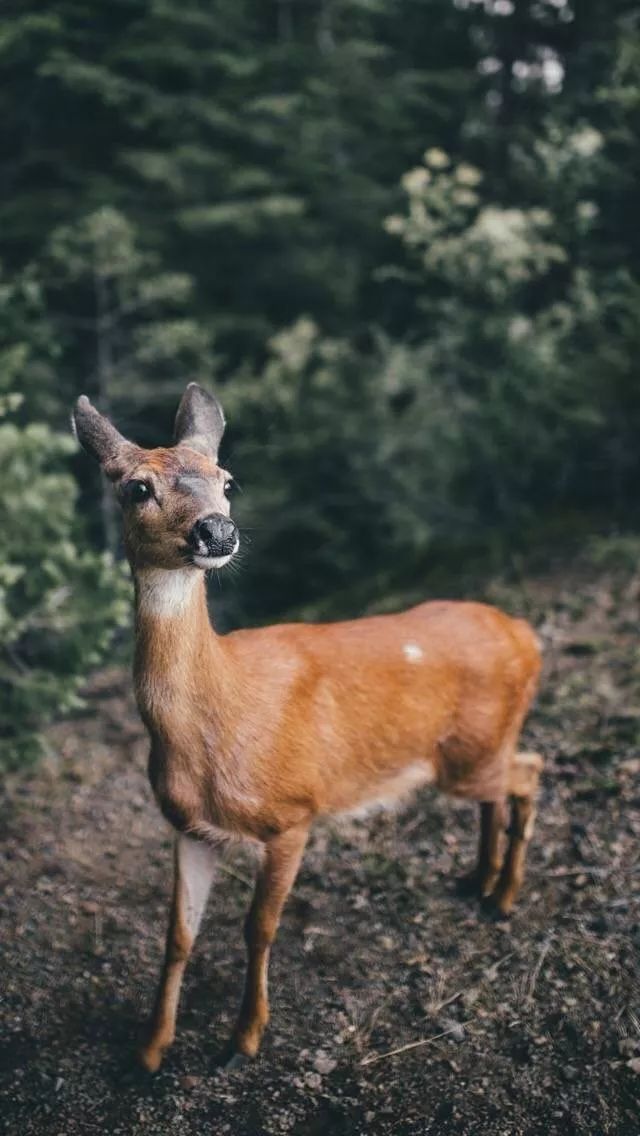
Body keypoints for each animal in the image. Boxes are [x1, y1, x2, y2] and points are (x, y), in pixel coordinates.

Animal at [73, 383, 545, 1072]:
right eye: (137, 488)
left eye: (227, 480)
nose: (217, 530)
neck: (217, 722)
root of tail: (527, 635)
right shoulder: (188, 826)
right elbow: (178, 936)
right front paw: (151, 1050)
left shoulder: (294, 812)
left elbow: (258, 928)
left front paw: (244, 1038)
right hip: (470, 756)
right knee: (506, 787)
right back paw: (479, 881)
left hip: (473, 751)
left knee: (532, 773)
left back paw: (506, 896)